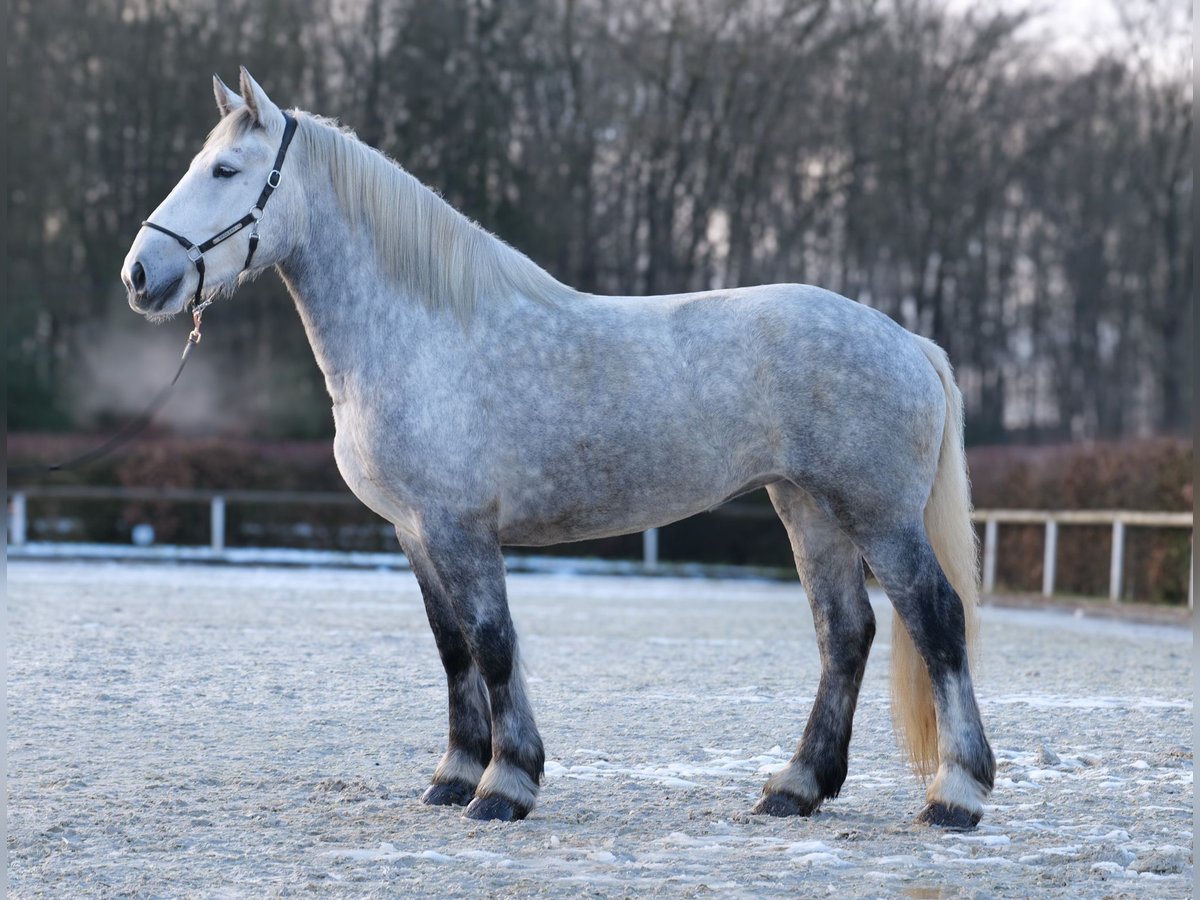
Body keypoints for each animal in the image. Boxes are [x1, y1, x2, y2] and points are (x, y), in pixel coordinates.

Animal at [126, 68, 998, 830]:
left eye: (226, 170)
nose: (141, 274)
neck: (422, 334)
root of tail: (908, 342)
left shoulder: (460, 529)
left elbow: (493, 644)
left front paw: (505, 785)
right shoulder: (413, 532)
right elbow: (452, 651)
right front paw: (454, 774)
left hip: (878, 515)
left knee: (936, 619)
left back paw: (955, 795)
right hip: (808, 508)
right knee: (844, 633)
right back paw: (797, 787)